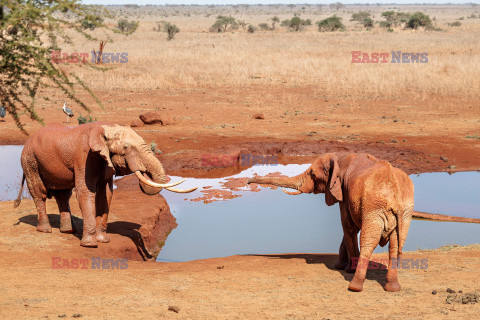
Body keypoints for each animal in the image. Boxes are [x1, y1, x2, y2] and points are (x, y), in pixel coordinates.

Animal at [14, 122, 196, 248]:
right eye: (125, 147)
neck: (106, 129)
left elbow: (105, 194)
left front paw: (103, 241)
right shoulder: (84, 157)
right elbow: (86, 192)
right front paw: (90, 245)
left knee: (63, 195)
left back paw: (68, 231)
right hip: (29, 160)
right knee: (40, 193)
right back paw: (45, 230)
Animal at [249, 153, 478, 292]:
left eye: (313, 174)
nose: (249, 180)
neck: (340, 156)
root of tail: (395, 195)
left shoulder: (343, 190)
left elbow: (348, 226)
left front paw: (346, 269)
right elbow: (347, 228)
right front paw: (340, 266)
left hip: (375, 210)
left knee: (369, 241)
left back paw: (354, 286)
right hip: (405, 213)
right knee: (396, 245)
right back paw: (393, 288)